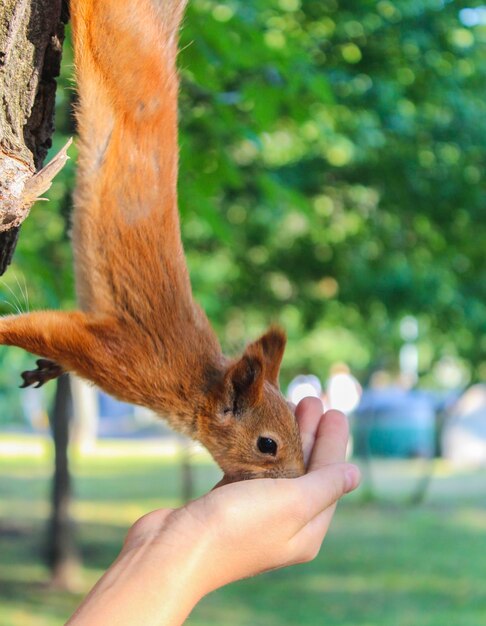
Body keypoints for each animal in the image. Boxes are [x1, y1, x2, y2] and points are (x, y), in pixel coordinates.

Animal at [0, 0, 304, 480]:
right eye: (267, 444)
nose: (297, 475)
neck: (195, 382)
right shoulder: (124, 357)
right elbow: (44, 329)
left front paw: (47, 370)